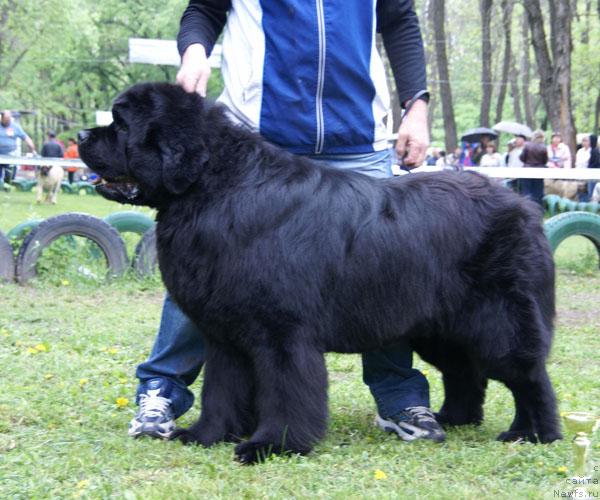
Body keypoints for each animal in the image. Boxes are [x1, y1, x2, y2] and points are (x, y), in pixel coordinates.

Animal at [77, 84, 560, 462]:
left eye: (121, 125)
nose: (81, 133)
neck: (217, 189)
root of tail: (525, 206)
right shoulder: (226, 335)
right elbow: (222, 390)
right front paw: (205, 435)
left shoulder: (282, 333)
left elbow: (285, 392)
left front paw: (272, 445)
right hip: (440, 327)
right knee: (465, 373)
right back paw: (453, 419)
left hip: (497, 322)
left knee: (528, 377)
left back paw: (535, 433)